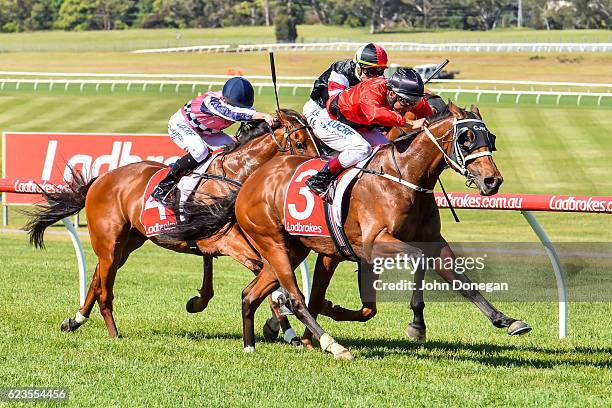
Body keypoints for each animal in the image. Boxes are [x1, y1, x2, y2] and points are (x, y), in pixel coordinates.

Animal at [23, 109, 320, 342]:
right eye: (300, 142)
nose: (313, 171)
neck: (235, 175)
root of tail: (101, 179)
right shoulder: (225, 240)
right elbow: (264, 273)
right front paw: (283, 320)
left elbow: (263, 274)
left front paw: (286, 330)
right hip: (109, 242)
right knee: (104, 286)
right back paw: (112, 333)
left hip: (126, 244)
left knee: (97, 278)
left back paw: (75, 320)